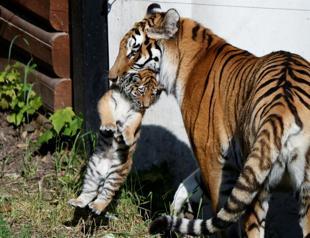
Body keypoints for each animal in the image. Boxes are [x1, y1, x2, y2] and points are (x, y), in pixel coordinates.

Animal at [109, 3, 310, 238]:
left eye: (133, 52)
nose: (111, 78)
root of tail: (282, 106)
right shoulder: (233, 164)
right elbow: (187, 185)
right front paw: (178, 210)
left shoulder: (210, 155)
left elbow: (219, 210)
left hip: (257, 183)